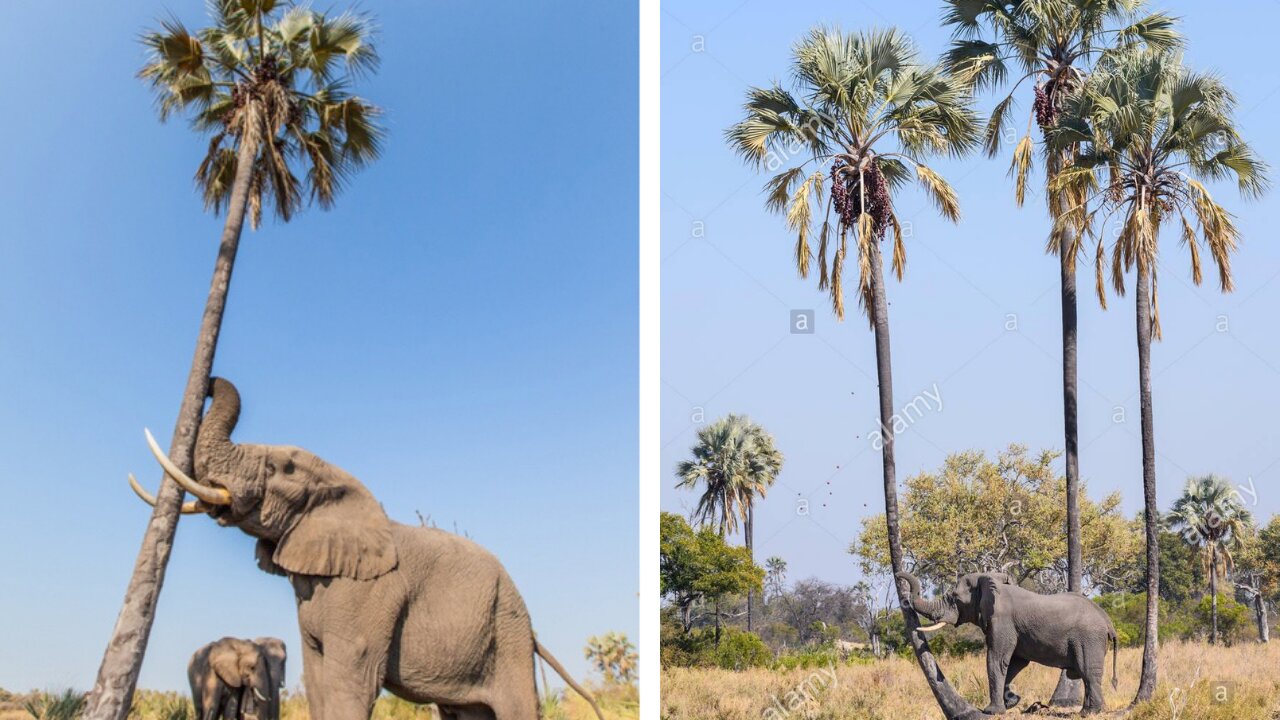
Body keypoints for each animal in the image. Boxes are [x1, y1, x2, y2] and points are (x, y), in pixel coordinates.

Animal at [132, 376, 601, 717]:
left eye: (282, 468)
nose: (209, 380)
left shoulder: (369, 595)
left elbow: (350, 679)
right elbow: (319, 679)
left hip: (509, 634)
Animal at [896, 568, 1116, 712]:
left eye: (954, 597)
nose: (898, 575)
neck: (990, 581)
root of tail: (1107, 620)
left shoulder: (1002, 621)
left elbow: (996, 659)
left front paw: (992, 711)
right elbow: (1015, 663)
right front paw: (1012, 701)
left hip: (1089, 639)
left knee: (1088, 672)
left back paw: (1090, 712)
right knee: (1086, 674)